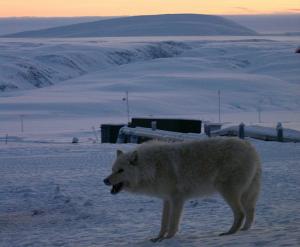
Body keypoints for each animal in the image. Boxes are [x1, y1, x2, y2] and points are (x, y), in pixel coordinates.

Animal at [103, 137, 260, 241]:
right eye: (113, 170)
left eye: (121, 171)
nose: (105, 180)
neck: (153, 167)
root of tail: (251, 148)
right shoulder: (166, 199)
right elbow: (163, 222)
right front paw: (158, 238)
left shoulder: (177, 198)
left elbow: (173, 222)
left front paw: (168, 238)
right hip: (245, 195)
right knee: (250, 212)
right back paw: (244, 230)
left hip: (227, 191)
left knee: (240, 213)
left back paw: (230, 233)